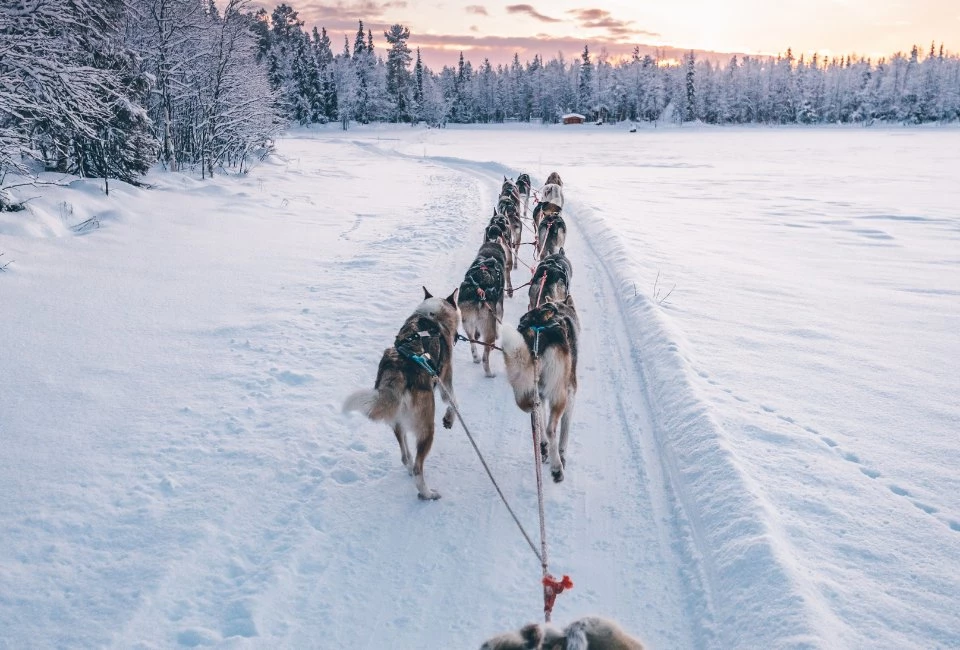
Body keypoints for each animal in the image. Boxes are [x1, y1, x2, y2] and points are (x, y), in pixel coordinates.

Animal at [344, 286, 464, 498]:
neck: (434, 317)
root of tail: (398, 370)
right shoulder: (446, 382)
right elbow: (454, 403)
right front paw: (449, 419)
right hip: (427, 428)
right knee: (417, 467)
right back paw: (427, 494)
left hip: (397, 422)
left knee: (405, 457)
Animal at [502, 294, 576, 480]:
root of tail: (536, 335)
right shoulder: (571, 393)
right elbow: (565, 431)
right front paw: (562, 455)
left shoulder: (541, 395)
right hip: (559, 395)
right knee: (550, 429)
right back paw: (557, 468)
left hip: (527, 387)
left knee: (536, 416)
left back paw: (543, 448)